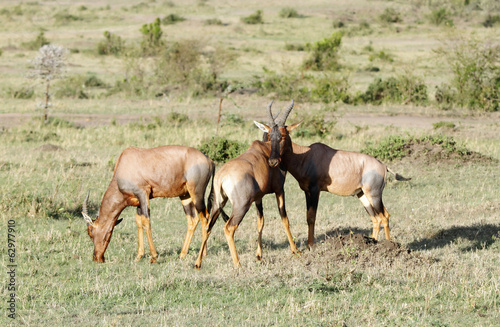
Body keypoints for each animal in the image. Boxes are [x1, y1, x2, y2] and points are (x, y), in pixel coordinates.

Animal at [82, 146, 215, 264]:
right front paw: (138, 256)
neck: (124, 163)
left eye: (90, 232)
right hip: (185, 195)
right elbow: (139, 222)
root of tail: (209, 160)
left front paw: (153, 258)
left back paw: (201, 255)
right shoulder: (138, 201)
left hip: (196, 194)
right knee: (193, 219)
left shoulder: (143, 193)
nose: (97, 258)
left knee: (205, 219)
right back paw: (183, 255)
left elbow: (146, 221)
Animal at [193, 100, 298, 270]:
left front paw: (259, 256)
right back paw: (238, 264)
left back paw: (198, 263)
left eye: (282, 135)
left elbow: (260, 222)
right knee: (228, 228)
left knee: (208, 226)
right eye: (270, 135)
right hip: (241, 206)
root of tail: (221, 176)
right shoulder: (279, 190)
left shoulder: (258, 198)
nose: (273, 162)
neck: (266, 150)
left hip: (218, 203)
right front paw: (295, 251)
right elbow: (284, 218)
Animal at [262, 121, 410, 251]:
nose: (273, 161)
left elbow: (311, 217)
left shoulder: (315, 191)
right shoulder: (307, 191)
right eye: (269, 136)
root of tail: (383, 166)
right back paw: (373, 243)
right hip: (362, 195)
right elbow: (308, 217)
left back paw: (389, 245)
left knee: (384, 216)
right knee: (376, 219)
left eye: (283, 135)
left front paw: (310, 246)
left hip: (374, 195)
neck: (306, 155)